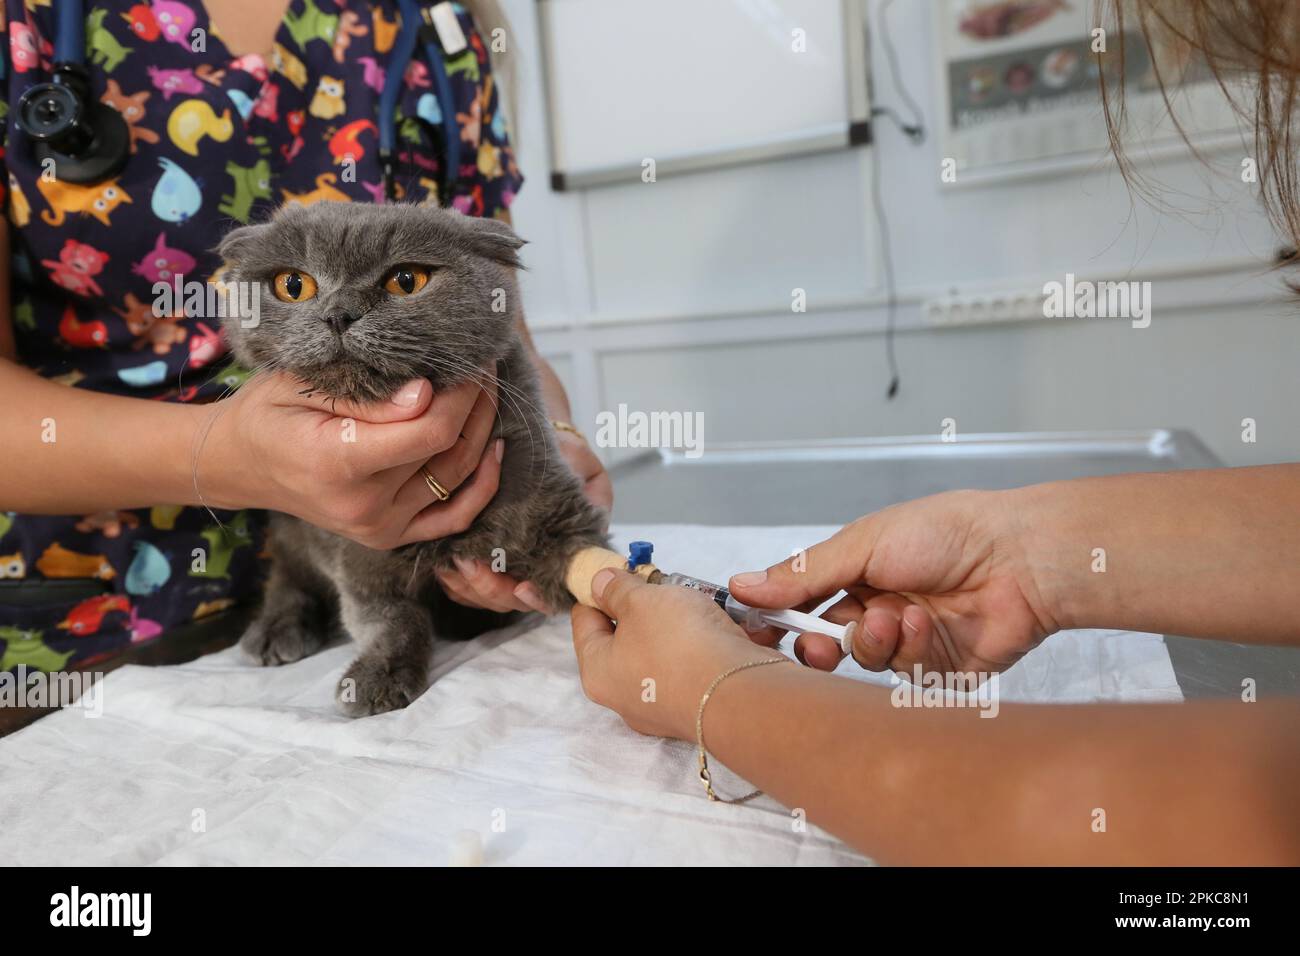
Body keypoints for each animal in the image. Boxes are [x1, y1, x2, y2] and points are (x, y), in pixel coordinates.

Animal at [217, 205, 608, 723]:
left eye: (406, 280)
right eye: (293, 285)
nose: (338, 313)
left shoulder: (542, 485)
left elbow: (581, 549)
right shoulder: (359, 550)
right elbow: (391, 617)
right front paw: (380, 676)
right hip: (291, 524)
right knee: (286, 575)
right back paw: (275, 629)